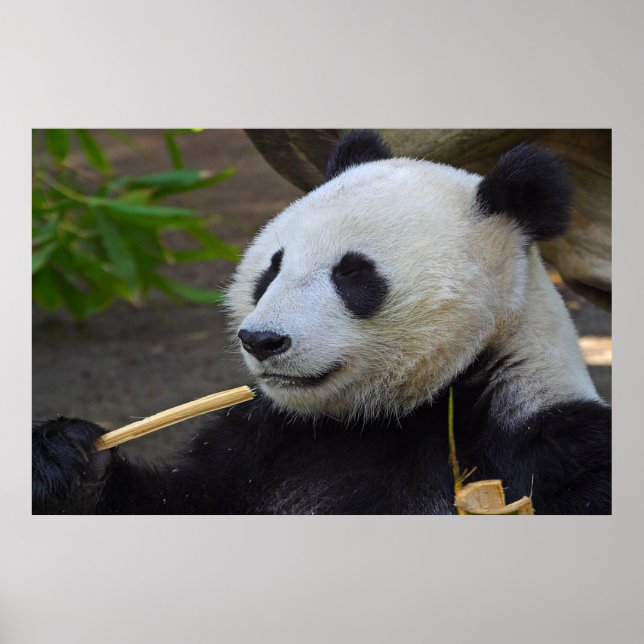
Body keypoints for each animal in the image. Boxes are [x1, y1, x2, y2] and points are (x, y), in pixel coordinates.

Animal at [32, 130, 611, 515]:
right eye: (273, 266)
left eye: (353, 274)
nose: (262, 340)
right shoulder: (264, 441)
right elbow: (180, 498)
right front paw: (66, 459)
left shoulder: (541, 444)